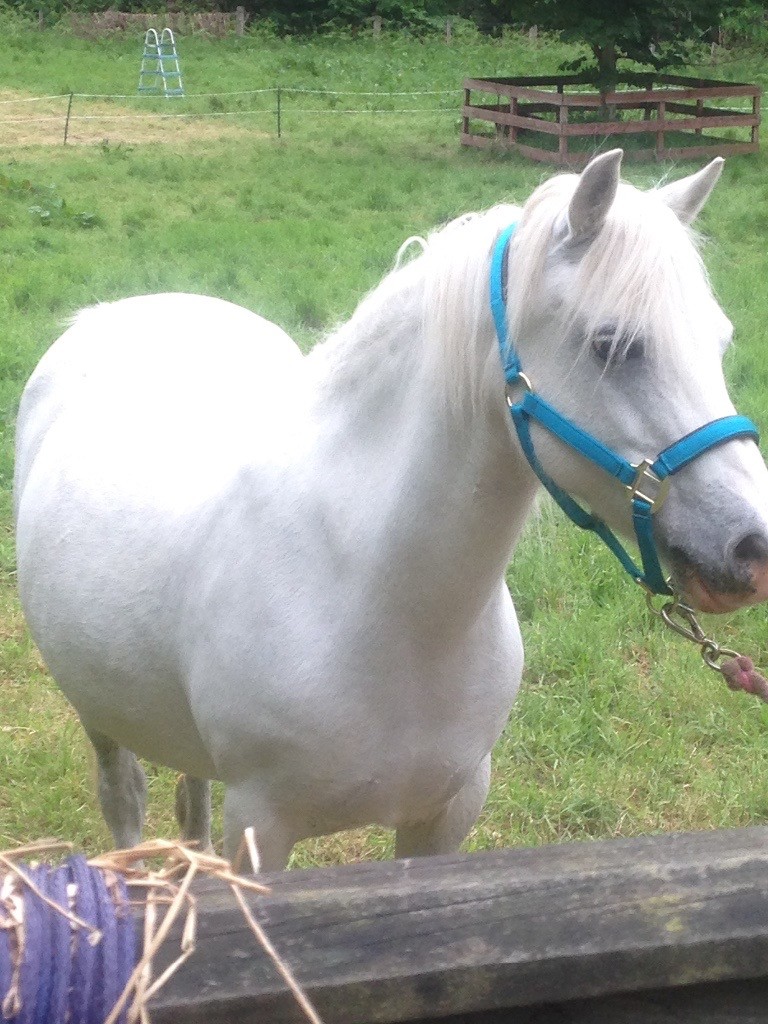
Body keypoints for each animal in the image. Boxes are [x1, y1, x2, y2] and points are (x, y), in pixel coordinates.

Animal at [14, 150, 768, 870]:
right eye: (613, 344)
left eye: (721, 341)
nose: (751, 546)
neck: (375, 597)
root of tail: (113, 313)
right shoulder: (260, 827)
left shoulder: (445, 815)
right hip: (99, 714)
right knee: (125, 800)